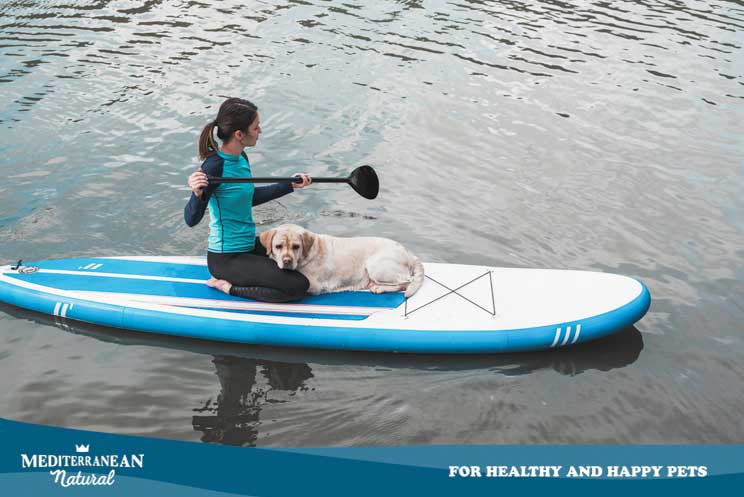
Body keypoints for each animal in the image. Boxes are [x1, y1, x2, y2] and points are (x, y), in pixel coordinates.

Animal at [260, 224, 424, 296]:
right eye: (278, 246)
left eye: (296, 246)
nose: (287, 260)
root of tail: (409, 253)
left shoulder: (314, 285)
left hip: (376, 265)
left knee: (405, 283)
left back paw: (379, 288)